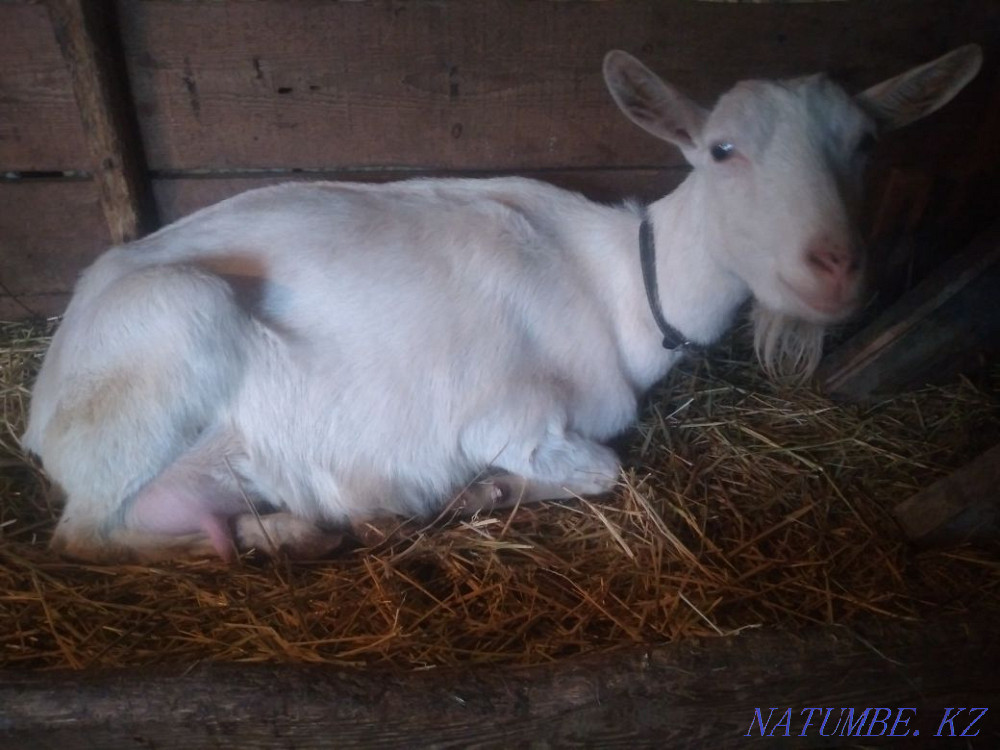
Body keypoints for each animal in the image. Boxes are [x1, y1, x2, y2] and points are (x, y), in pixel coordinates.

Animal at [23, 46, 981, 562]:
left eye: (866, 143)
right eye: (722, 149)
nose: (836, 268)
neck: (620, 286)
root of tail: (40, 405)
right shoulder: (507, 414)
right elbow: (603, 468)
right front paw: (477, 490)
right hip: (171, 336)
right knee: (80, 535)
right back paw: (306, 530)